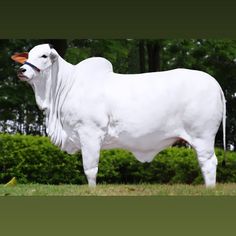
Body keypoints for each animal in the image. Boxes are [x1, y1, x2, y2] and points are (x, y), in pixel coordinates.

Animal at [13, 43, 227, 187]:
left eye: (44, 56)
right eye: (28, 55)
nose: (21, 70)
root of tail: (215, 83)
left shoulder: (90, 133)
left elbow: (90, 170)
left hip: (203, 136)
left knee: (209, 163)